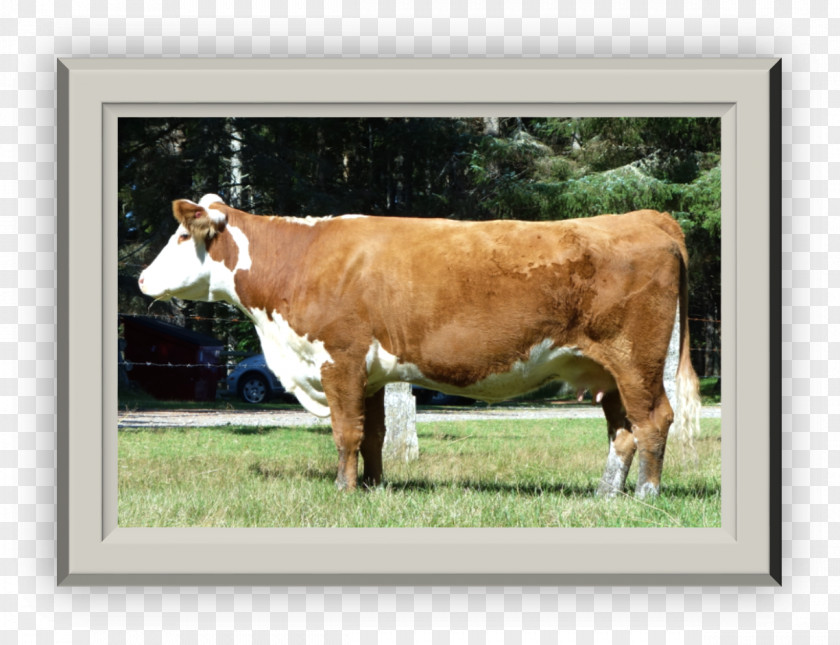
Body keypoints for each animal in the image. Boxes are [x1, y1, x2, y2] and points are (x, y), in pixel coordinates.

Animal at [139, 192, 704, 498]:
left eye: (179, 237)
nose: (142, 279)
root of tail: (645, 216)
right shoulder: (367, 372)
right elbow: (372, 435)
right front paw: (372, 486)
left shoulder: (339, 360)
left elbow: (345, 433)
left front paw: (343, 491)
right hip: (606, 370)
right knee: (623, 431)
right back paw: (606, 494)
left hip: (636, 360)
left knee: (654, 421)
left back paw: (646, 495)